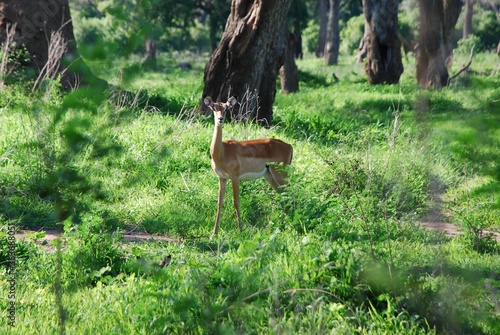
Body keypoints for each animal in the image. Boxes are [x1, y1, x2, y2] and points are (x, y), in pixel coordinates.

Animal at [205, 96, 294, 238]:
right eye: (214, 108)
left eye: (226, 108)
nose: (220, 119)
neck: (222, 151)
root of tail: (289, 145)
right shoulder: (222, 178)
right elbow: (219, 203)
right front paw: (214, 234)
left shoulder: (235, 177)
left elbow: (236, 202)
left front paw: (240, 230)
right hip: (269, 176)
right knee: (284, 194)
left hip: (281, 175)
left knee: (292, 193)